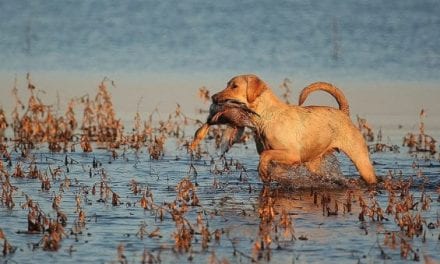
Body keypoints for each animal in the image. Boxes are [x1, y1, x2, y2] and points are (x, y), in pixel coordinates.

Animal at [192, 74, 378, 185]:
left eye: (234, 86)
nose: (213, 97)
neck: (266, 117)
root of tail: (343, 112)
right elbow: (269, 160)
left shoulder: (292, 155)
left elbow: (266, 156)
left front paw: (263, 171)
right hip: (314, 164)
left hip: (361, 161)